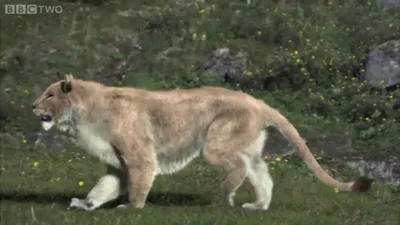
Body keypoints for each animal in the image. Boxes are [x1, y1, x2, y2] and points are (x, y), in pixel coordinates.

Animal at [30, 74, 372, 211]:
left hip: (215, 141)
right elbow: (103, 187)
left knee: (239, 167)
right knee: (261, 173)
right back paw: (257, 206)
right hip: (248, 145)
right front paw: (85, 204)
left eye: (49, 94)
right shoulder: (118, 164)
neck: (83, 116)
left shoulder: (140, 157)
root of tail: (259, 102)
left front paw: (132, 208)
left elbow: (138, 183)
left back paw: (225, 196)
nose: (33, 106)